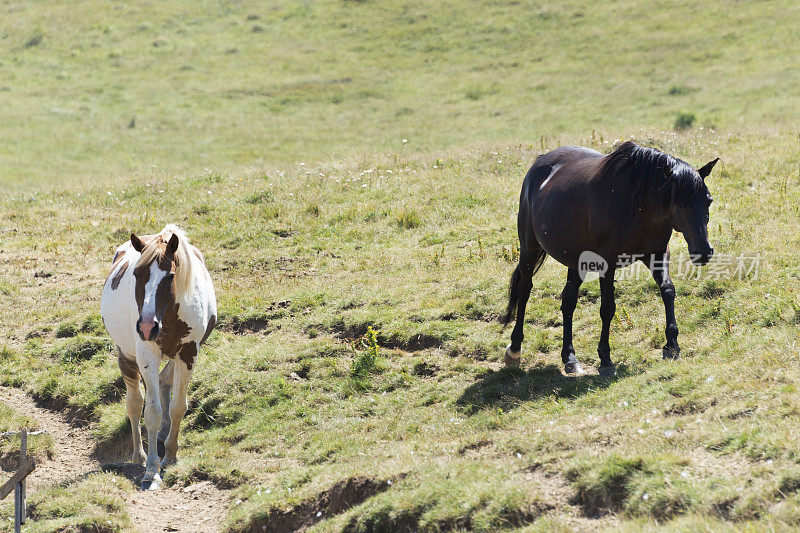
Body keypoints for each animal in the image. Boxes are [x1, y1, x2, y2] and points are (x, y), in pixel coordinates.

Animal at [101, 222, 217, 488]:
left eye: (171, 276)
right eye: (137, 274)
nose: (146, 327)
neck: (169, 316)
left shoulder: (189, 352)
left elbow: (177, 407)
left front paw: (171, 455)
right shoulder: (147, 355)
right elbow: (151, 411)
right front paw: (152, 470)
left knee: (164, 382)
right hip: (127, 357)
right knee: (135, 404)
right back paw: (139, 455)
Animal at [500, 139, 720, 376]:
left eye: (708, 201)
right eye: (679, 204)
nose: (703, 251)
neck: (638, 206)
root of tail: (539, 164)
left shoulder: (657, 254)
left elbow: (668, 291)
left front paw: (672, 346)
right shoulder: (607, 263)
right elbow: (607, 308)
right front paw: (605, 359)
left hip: (576, 260)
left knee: (568, 301)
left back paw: (570, 357)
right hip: (529, 248)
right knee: (524, 290)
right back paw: (515, 349)